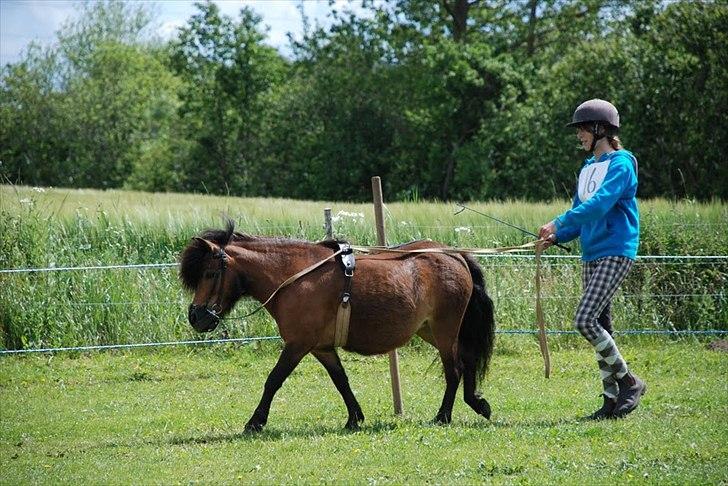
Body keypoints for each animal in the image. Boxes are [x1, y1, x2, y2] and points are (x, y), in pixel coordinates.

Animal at [178, 222, 494, 430]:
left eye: (210, 273)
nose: (195, 316)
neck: (295, 276)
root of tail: (454, 254)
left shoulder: (298, 345)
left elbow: (274, 380)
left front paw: (255, 422)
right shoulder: (321, 348)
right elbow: (341, 380)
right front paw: (354, 418)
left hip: (445, 329)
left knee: (454, 370)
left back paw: (443, 416)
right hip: (432, 330)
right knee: (466, 362)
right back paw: (475, 402)